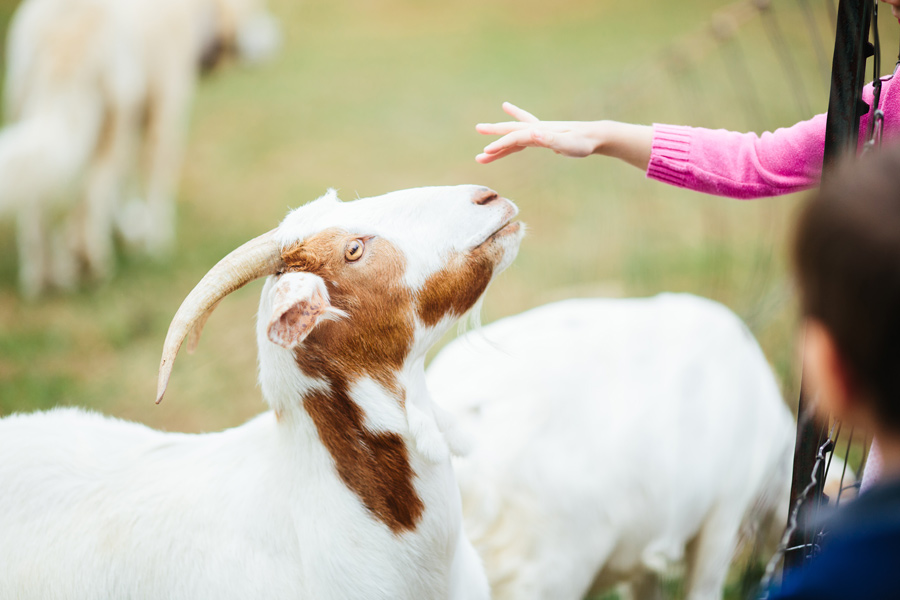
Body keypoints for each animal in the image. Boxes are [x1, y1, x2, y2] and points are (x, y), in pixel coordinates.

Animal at [0, 0, 280, 298]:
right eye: (256, 13)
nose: (278, 37)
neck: (193, 12)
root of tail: (64, 25)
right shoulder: (164, 116)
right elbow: (155, 185)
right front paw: (156, 242)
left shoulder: (137, 122)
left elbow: (124, 186)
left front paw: (129, 230)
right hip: (112, 123)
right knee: (89, 197)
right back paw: (91, 263)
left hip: (35, 111)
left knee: (37, 204)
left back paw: (44, 276)